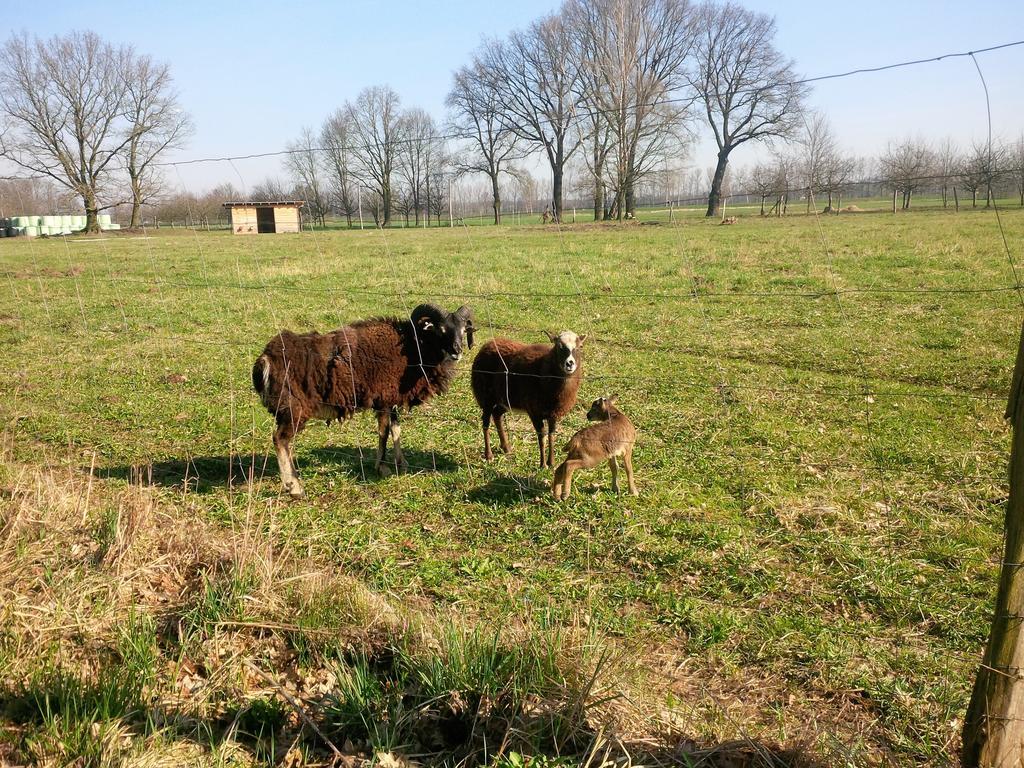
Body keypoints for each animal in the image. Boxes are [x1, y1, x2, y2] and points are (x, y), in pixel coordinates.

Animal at [249, 303, 473, 495]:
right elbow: (384, 432)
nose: (457, 351)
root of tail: (265, 359)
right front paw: (382, 468)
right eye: (441, 329)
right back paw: (294, 487)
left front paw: (402, 464)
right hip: (294, 409)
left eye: (463, 330)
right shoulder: (383, 400)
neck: (412, 348)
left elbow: (396, 429)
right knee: (280, 440)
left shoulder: (390, 399)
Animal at [468, 331, 585, 468]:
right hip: (486, 396)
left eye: (580, 347)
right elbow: (542, 437)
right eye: (558, 347)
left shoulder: (554, 413)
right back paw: (489, 455)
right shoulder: (534, 412)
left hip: (504, 400)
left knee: (497, 415)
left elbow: (551, 435)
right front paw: (542, 465)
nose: (570, 363)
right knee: (486, 423)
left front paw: (551, 463)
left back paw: (506, 447)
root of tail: (487, 345)